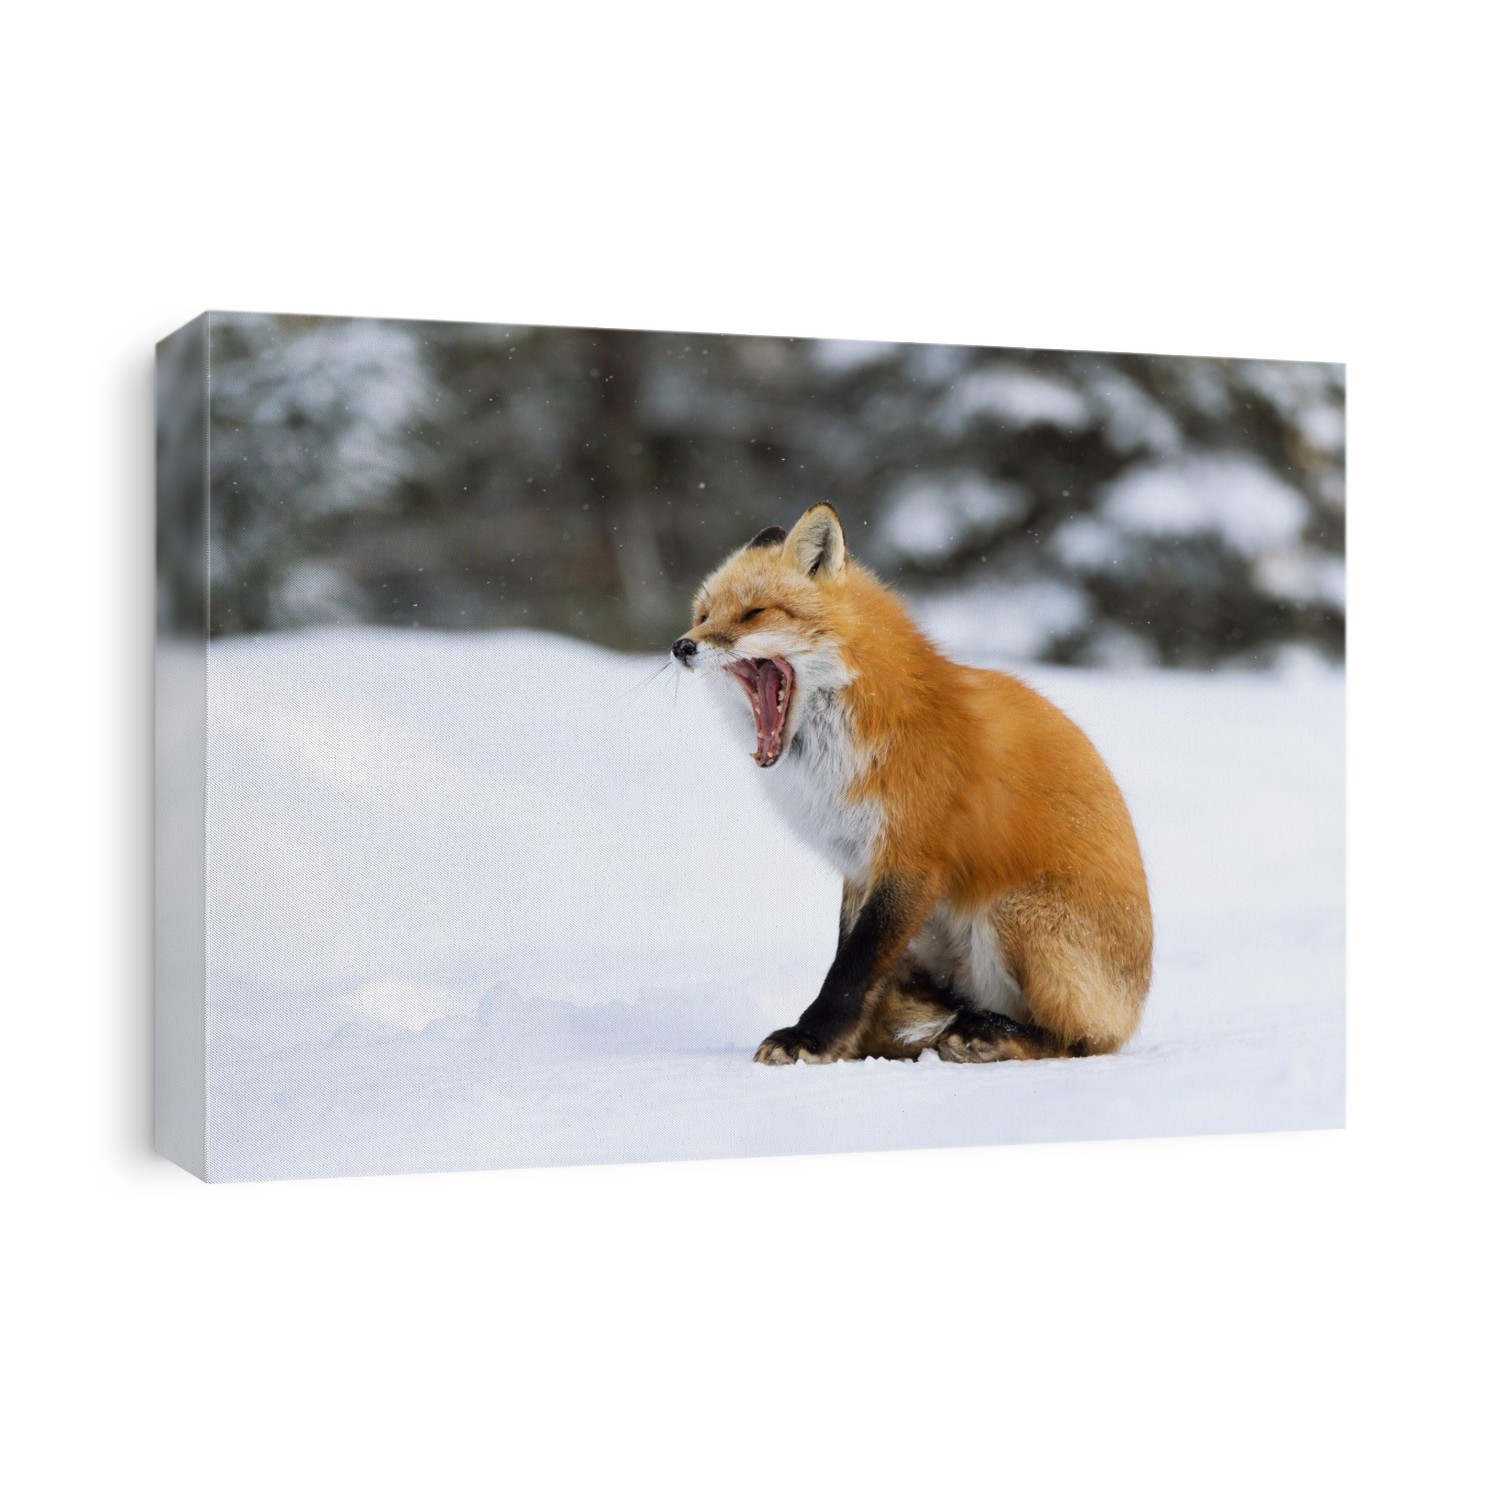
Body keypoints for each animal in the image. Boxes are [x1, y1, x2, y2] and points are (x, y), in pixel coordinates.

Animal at [671, 503, 1153, 1066]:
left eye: (753, 614)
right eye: (703, 614)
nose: (682, 645)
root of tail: (1135, 1009)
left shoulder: (912, 859)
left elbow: (853, 966)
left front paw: (810, 1038)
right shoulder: (858, 865)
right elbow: (853, 958)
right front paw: (843, 1045)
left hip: (1014, 912)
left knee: (1079, 1042)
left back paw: (991, 1034)